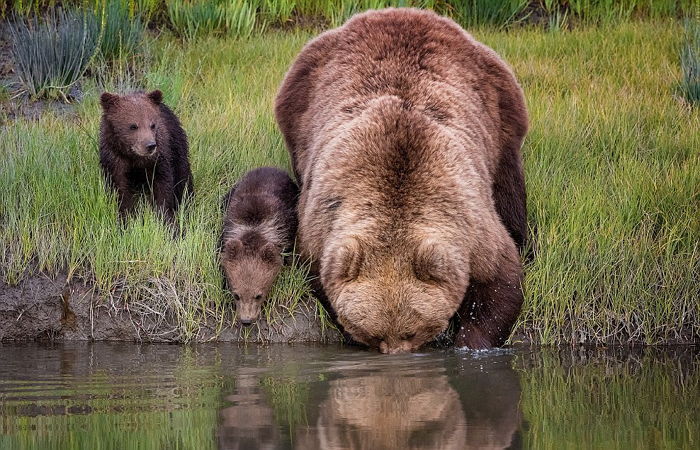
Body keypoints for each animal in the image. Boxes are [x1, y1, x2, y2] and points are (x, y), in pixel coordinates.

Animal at [276, 7, 528, 352]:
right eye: (375, 334)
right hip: (299, 104)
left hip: (499, 107)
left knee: (508, 189)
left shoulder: (471, 225)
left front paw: (470, 342)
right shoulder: (321, 226)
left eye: (413, 330)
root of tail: (399, 11)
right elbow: (319, 279)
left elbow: (500, 281)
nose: (396, 354)